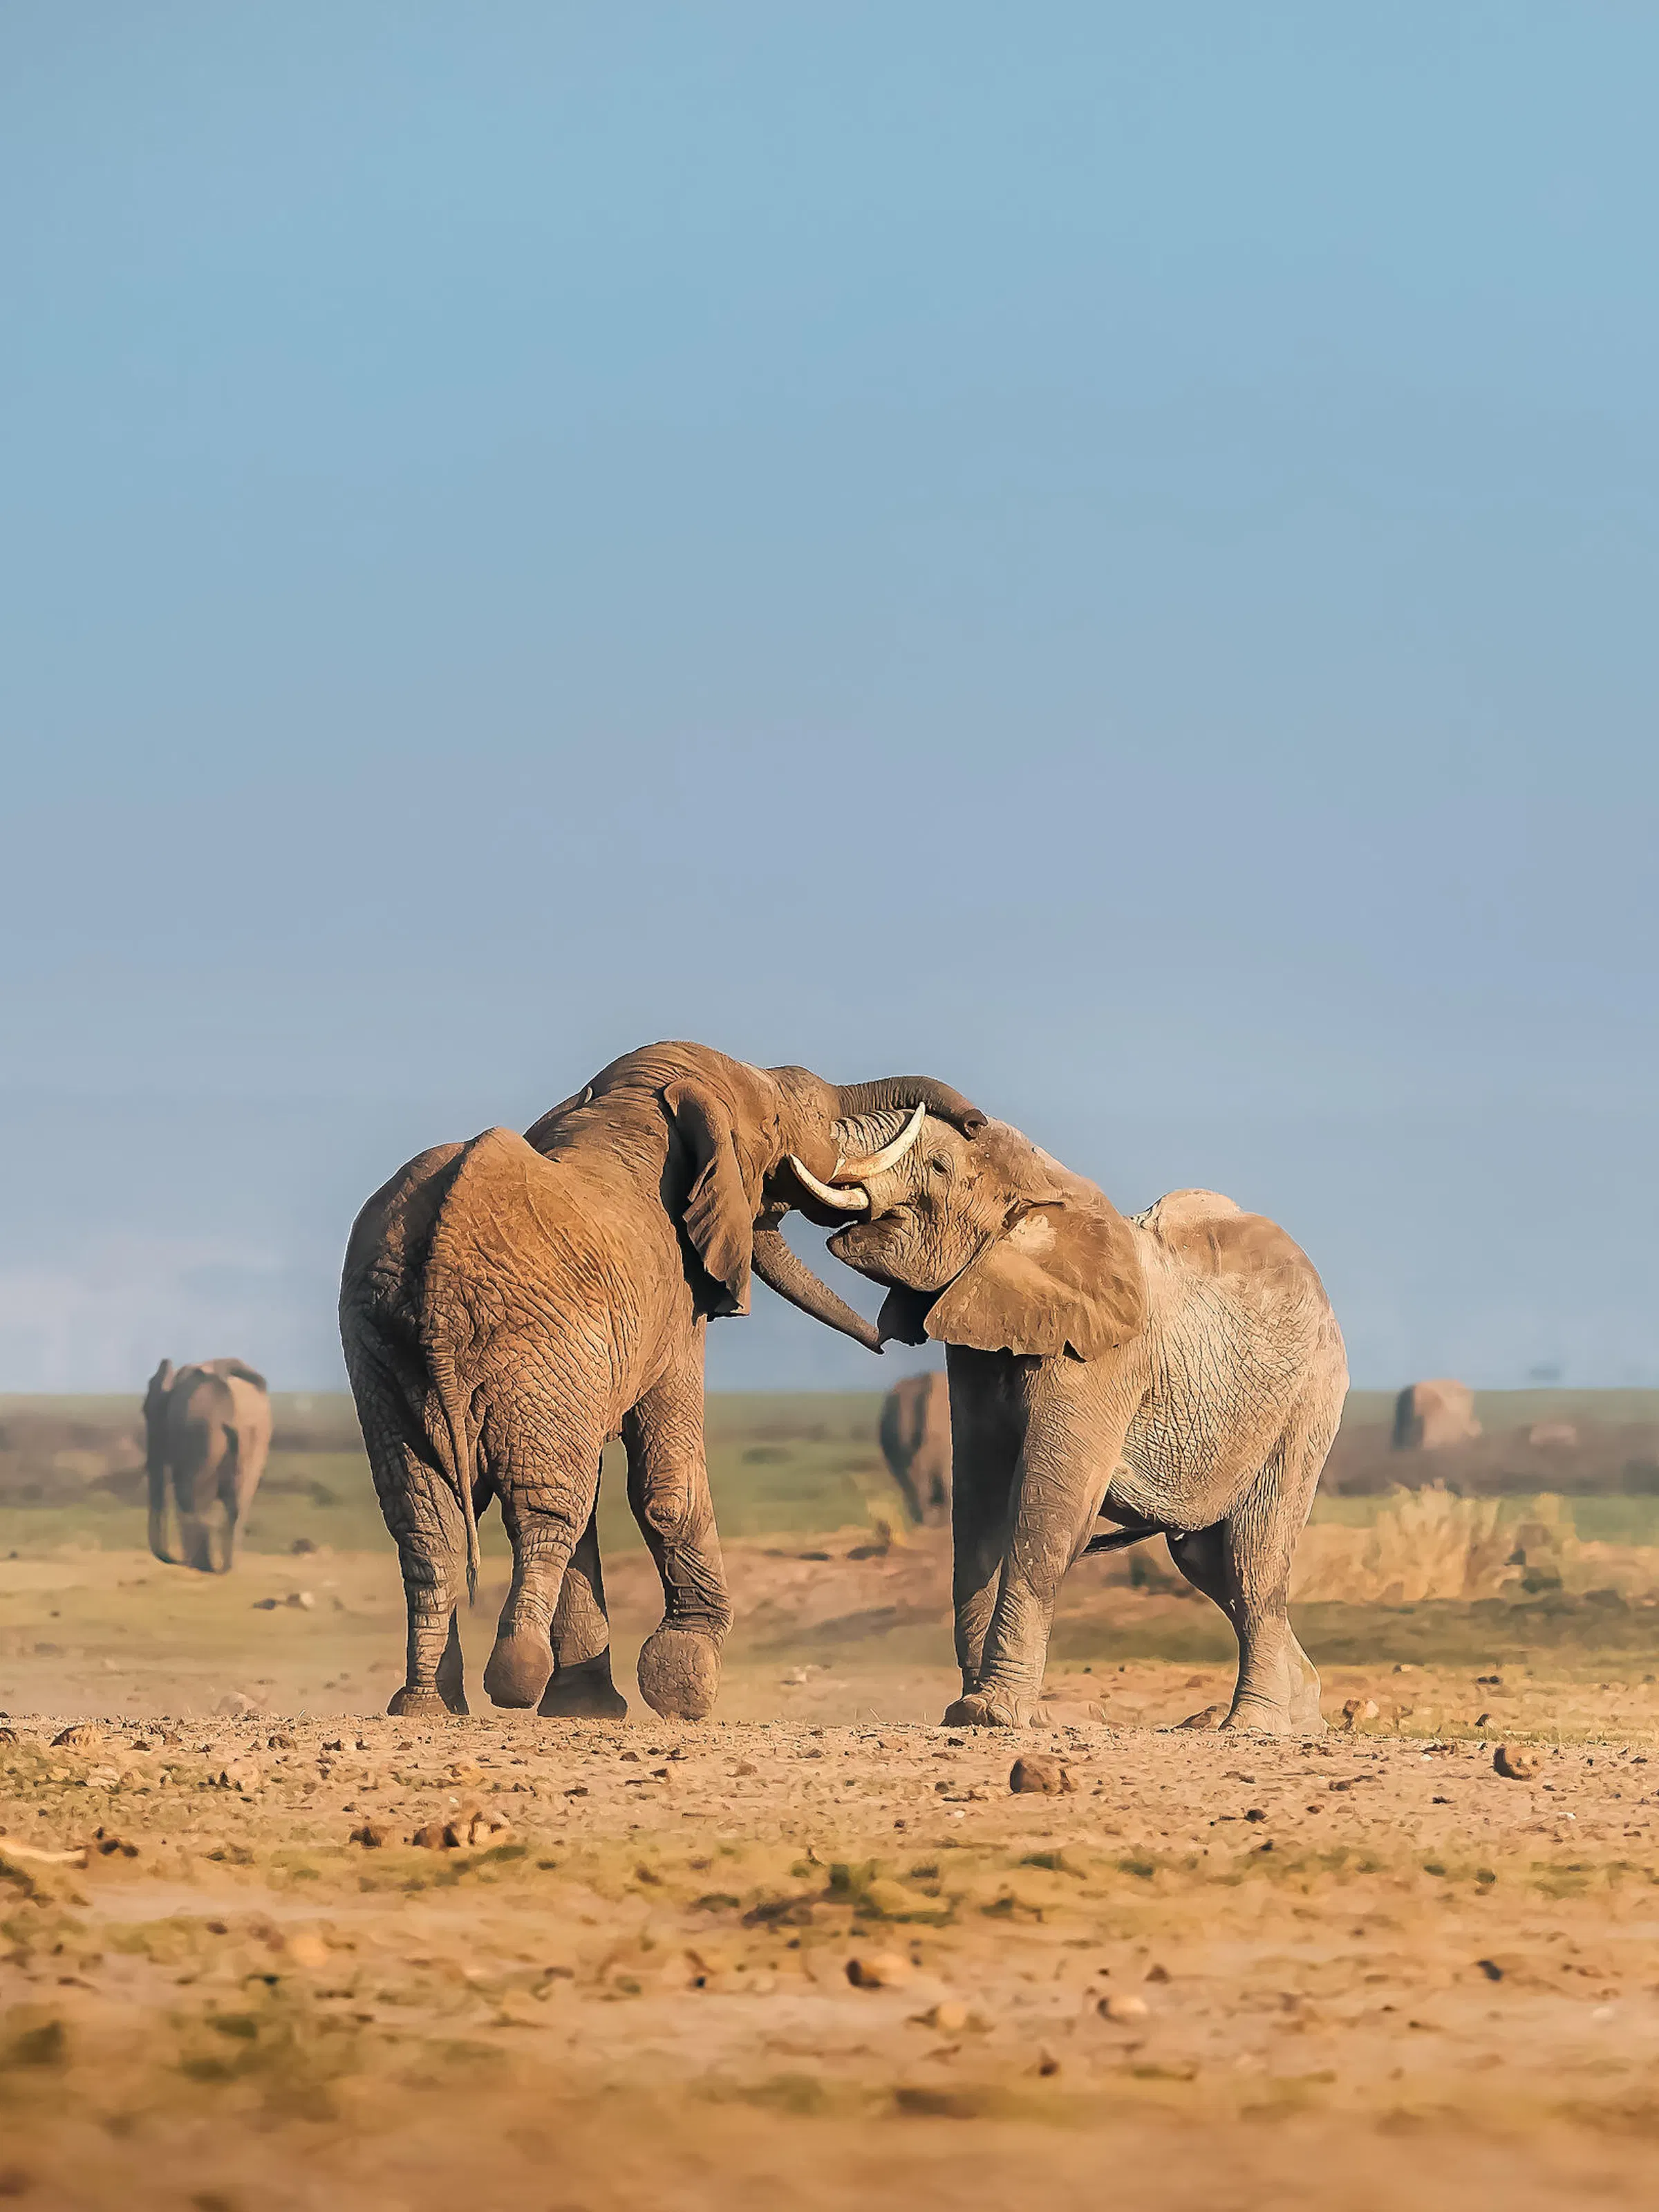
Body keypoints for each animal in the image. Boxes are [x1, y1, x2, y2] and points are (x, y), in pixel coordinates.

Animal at [142, 1358, 273, 1573]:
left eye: (145, 1410)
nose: (172, 1560)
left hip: (204, 1434)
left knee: (197, 1497)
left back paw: (203, 1566)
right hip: (254, 1438)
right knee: (238, 1503)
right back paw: (224, 1568)